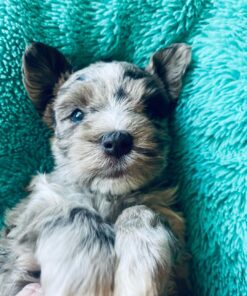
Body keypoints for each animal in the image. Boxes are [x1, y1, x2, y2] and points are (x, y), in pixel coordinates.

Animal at [0, 42, 191, 296]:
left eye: (150, 111)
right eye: (77, 115)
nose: (117, 141)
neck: (107, 194)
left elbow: (140, 211)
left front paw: (138, 277)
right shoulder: (33, 213)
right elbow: (77, 212)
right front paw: (84, 281)